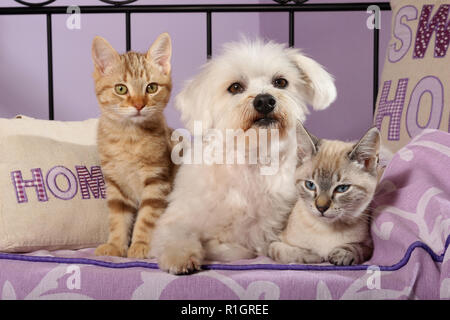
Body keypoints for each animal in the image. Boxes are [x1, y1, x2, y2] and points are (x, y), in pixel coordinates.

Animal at [92, 33, 175, 260]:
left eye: (151, 87)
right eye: (121, 89)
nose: (139, 104)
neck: (129, 138)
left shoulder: (157, 181)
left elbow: (146, 218)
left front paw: (140, 245)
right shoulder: (115, 184)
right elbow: (118, 219)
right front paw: (114, 246)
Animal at [152, 38, 338, 272]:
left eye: (280, 82)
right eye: (235, 87)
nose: (264, 100)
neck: (253, 155)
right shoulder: (179, 216)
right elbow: (176, 234)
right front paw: (180, 257)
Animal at [268, 124, 380, 266]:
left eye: (342, 188)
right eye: (310, 185)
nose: (321, 208)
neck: (325, 229)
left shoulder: (369, 246)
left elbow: (356, 247)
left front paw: (341, 255)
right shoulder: (274, 242)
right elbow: (285, 252)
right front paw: (312, 255)